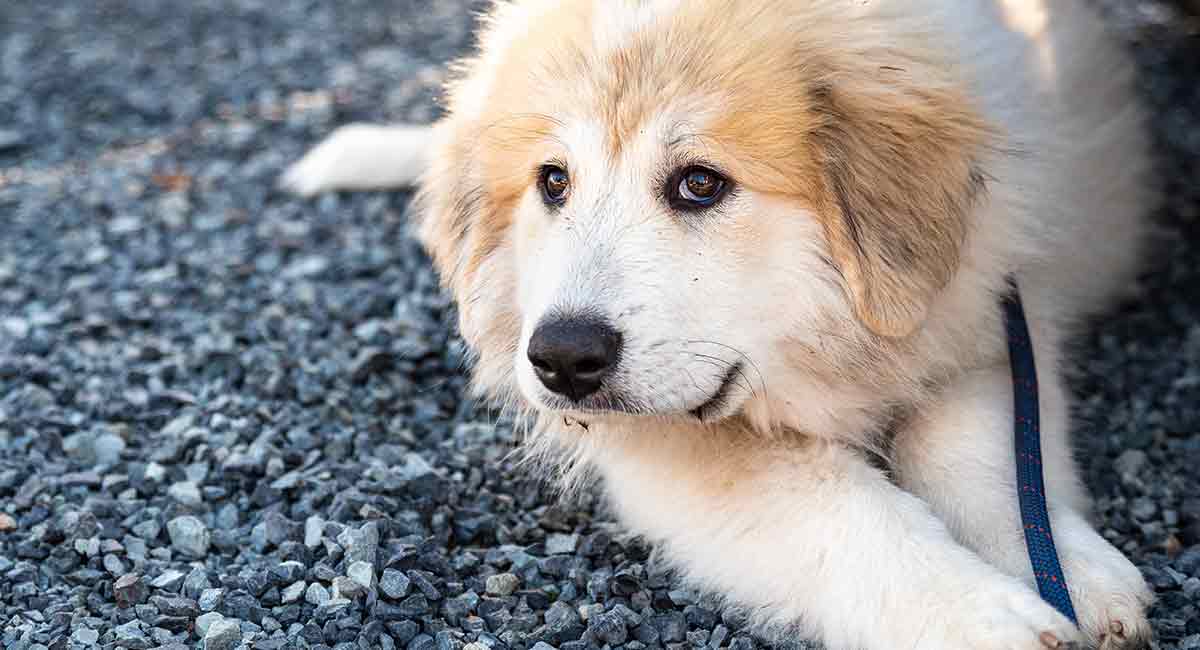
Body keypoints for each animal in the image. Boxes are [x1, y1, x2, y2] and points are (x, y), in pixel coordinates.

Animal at [280, 2, 1152, 647]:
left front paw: (1067, 572)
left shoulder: (987, 320)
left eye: (699, 183)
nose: (561, 359)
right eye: (553, 182)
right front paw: (977, 615)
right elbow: (837, 506)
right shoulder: (670, 439)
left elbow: (986, 455)